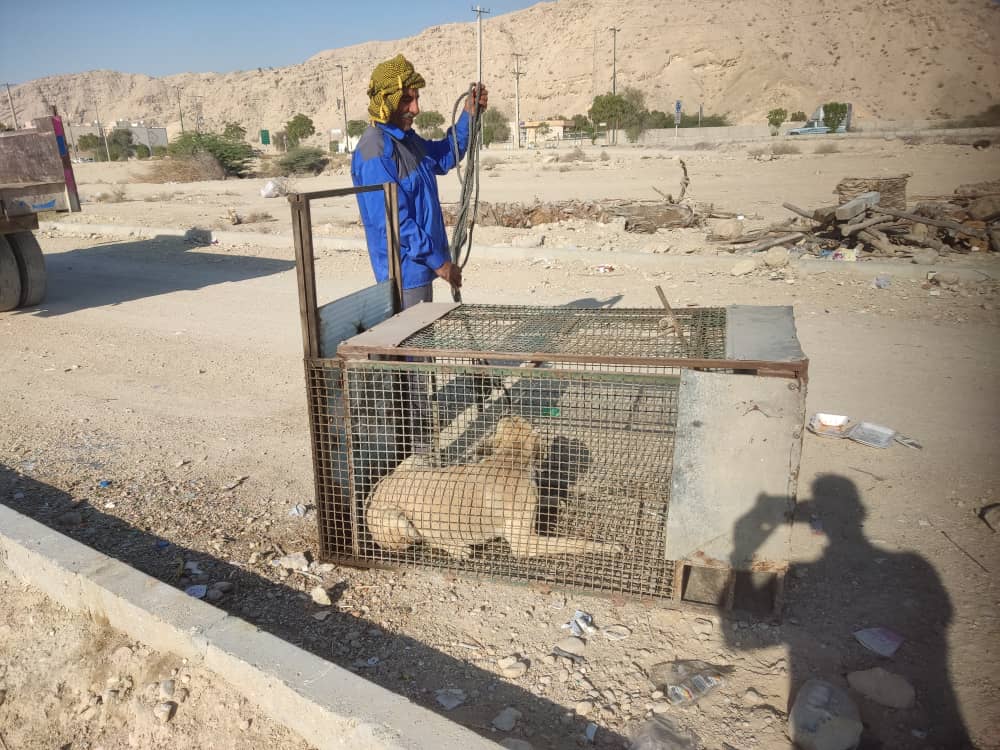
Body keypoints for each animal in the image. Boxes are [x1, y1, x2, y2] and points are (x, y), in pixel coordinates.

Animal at [364, 416, 624, 559]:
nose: (509, 411)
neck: (510, 459)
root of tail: (376, 490)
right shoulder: (523, 542)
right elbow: (573, 543)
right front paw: (608, 547)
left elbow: (545, 496)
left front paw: (555, 500)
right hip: (397, 519)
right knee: (423, 538)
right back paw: (457, 548)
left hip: (418, 460)